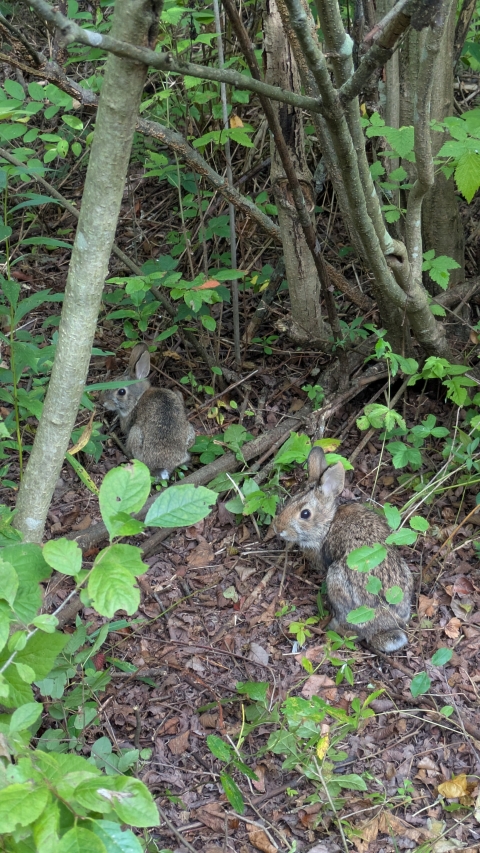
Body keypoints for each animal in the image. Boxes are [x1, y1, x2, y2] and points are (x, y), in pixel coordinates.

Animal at [101, 343, 195, 480]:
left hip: (135, 433)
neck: (139, 397)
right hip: (190, 431)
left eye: (121, 392)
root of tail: (162, 467)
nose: (103, 401)